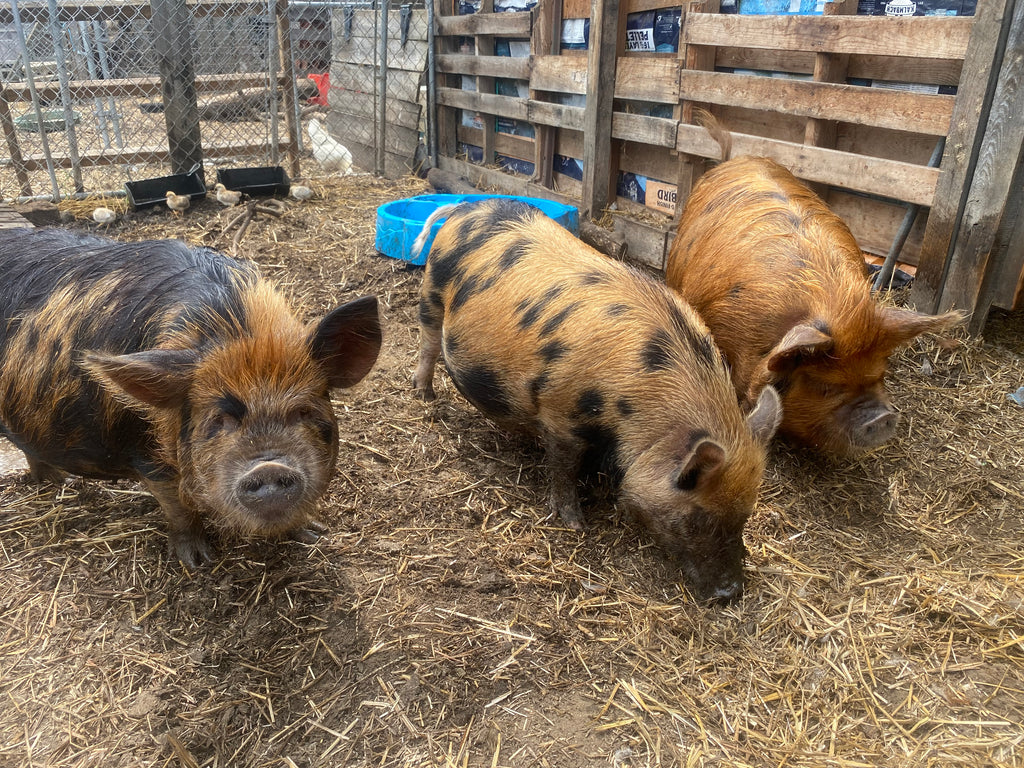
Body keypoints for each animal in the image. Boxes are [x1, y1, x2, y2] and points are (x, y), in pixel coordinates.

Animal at [0, 227, 382, 568]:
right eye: (219, 419)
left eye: (303, 411)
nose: (269, 466)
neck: (236, 327)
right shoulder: (146, 455)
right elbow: (178, 507)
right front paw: (198, 562)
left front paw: (315, 533)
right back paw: (59, 483)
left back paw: (58, 481)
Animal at [411, 198, 781, 601]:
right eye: (697, 517)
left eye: (744, 515)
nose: (730, 592)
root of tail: (465, 205)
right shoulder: (560, 412)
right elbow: (564, 466)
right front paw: (575, 524)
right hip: (430, 293)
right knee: (428, 344)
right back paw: (425, 397)